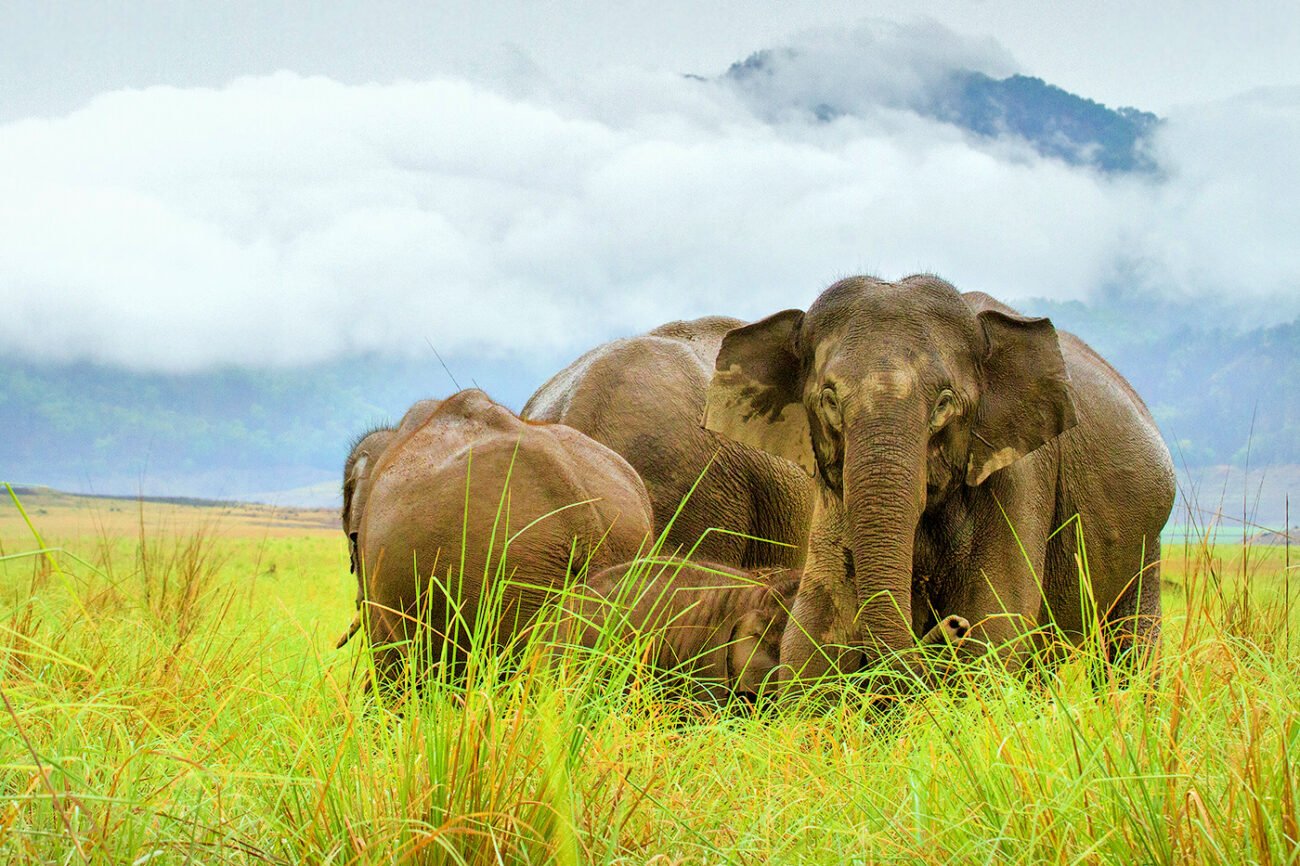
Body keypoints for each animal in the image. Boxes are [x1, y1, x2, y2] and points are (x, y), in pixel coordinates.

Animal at [702, 274, 1175, 689]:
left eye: (945, 403)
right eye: (829, 400)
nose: (951, 625)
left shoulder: (1019, 472)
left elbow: (996, 625)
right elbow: (816, 626)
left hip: (1148, 538)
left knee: (1130, 643)